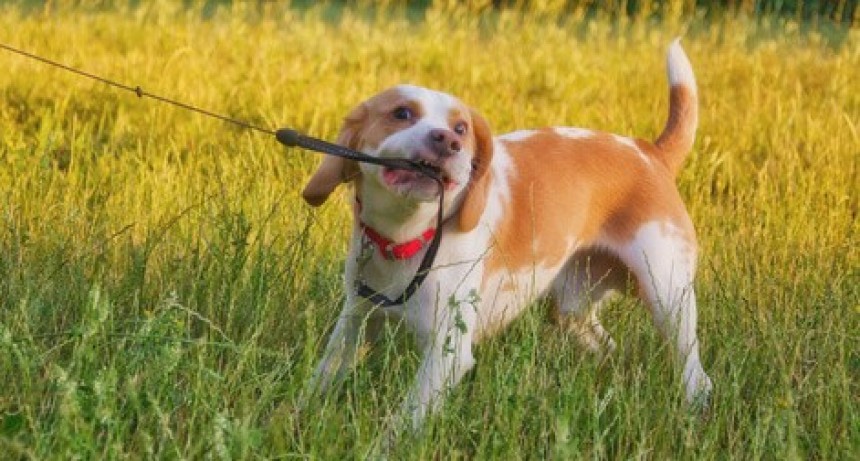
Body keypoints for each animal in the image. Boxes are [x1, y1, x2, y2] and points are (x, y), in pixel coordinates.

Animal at [302, 39, 712, 428]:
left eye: (462, 128)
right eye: (401, 113)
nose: (448, 141)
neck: (406, 238)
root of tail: (649, 152)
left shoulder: (446, 354)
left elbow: (401, 425)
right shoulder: (355, 322)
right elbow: (320, 380)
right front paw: (297, 417)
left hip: (667, 297)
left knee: (696, 373)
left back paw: (695, 410)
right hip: (571, 308)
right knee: (607, 347)